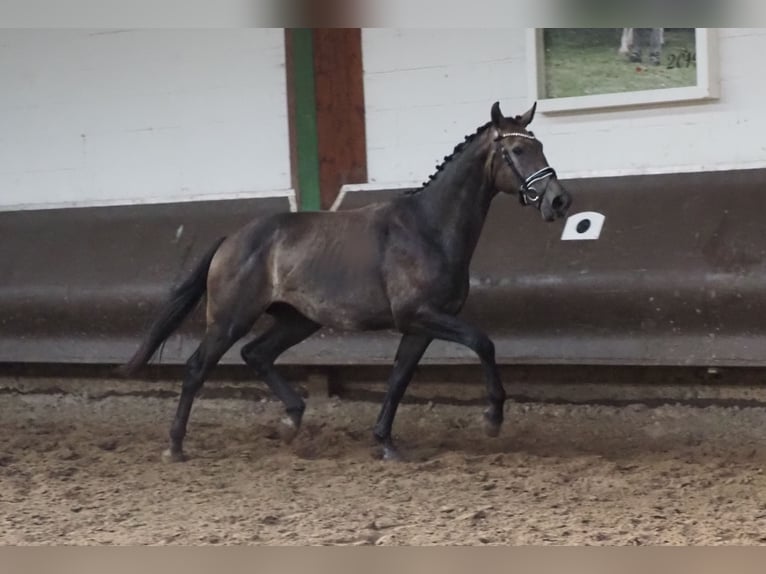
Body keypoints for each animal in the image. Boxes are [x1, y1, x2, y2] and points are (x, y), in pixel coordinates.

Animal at [123, 101, 572, 462]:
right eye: (517, 150)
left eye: (541, 146)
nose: (559, 200)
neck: (428, 228)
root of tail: (231, 239)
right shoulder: (421, 315)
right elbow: (483, 342)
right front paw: (493, 417)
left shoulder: (420, 326)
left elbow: (398, 379)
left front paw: (386, 443)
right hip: (230, 320)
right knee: (198, 367)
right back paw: (176, 446)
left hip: (298, 320)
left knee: (256, 354)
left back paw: (292, 419)